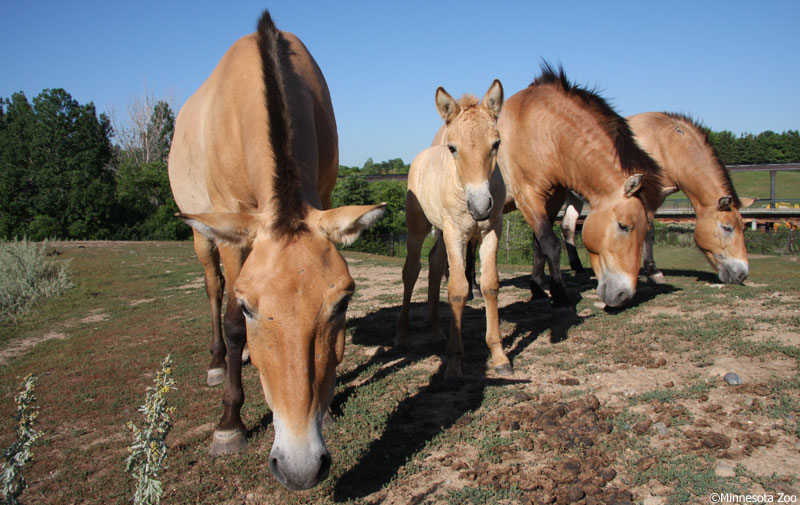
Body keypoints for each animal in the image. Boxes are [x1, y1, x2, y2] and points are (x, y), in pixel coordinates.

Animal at [167, 12, 386, 492]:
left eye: (343, 302)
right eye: (251, 307)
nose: (299, 468)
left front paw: (331, 407)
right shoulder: (231, 226)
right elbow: (232, 322)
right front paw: (229, 426)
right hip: (205, 237)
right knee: (214, 290)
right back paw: (218, 364)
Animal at [396, 81, 512, 382]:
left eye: (496, 144)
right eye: (452, 148)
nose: (480, 206)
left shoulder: (491, 230)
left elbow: (490, 285)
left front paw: (499, 356)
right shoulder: (456, 233)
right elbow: (458, 290)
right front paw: (454, 363)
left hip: (441, 230)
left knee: (435, 264)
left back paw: (437, 331)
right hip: (420, 227)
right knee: (411, 270)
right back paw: (402, 335)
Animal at [500, 63, 664, 308]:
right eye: (623, 226)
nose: (624, 295)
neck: (541, 131)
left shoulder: (553, 199)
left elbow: (538, 245)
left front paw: (538, 289)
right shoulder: (528, 198)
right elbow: (550, 244)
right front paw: (559, 294)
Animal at [560, 112, 752, 284]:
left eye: (743, 228)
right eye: (727, 228)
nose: (742, 274)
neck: (666, 145)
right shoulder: (649, 198)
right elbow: (649, 231)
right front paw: (653, 272)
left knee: (567, 227)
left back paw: (579, 269)